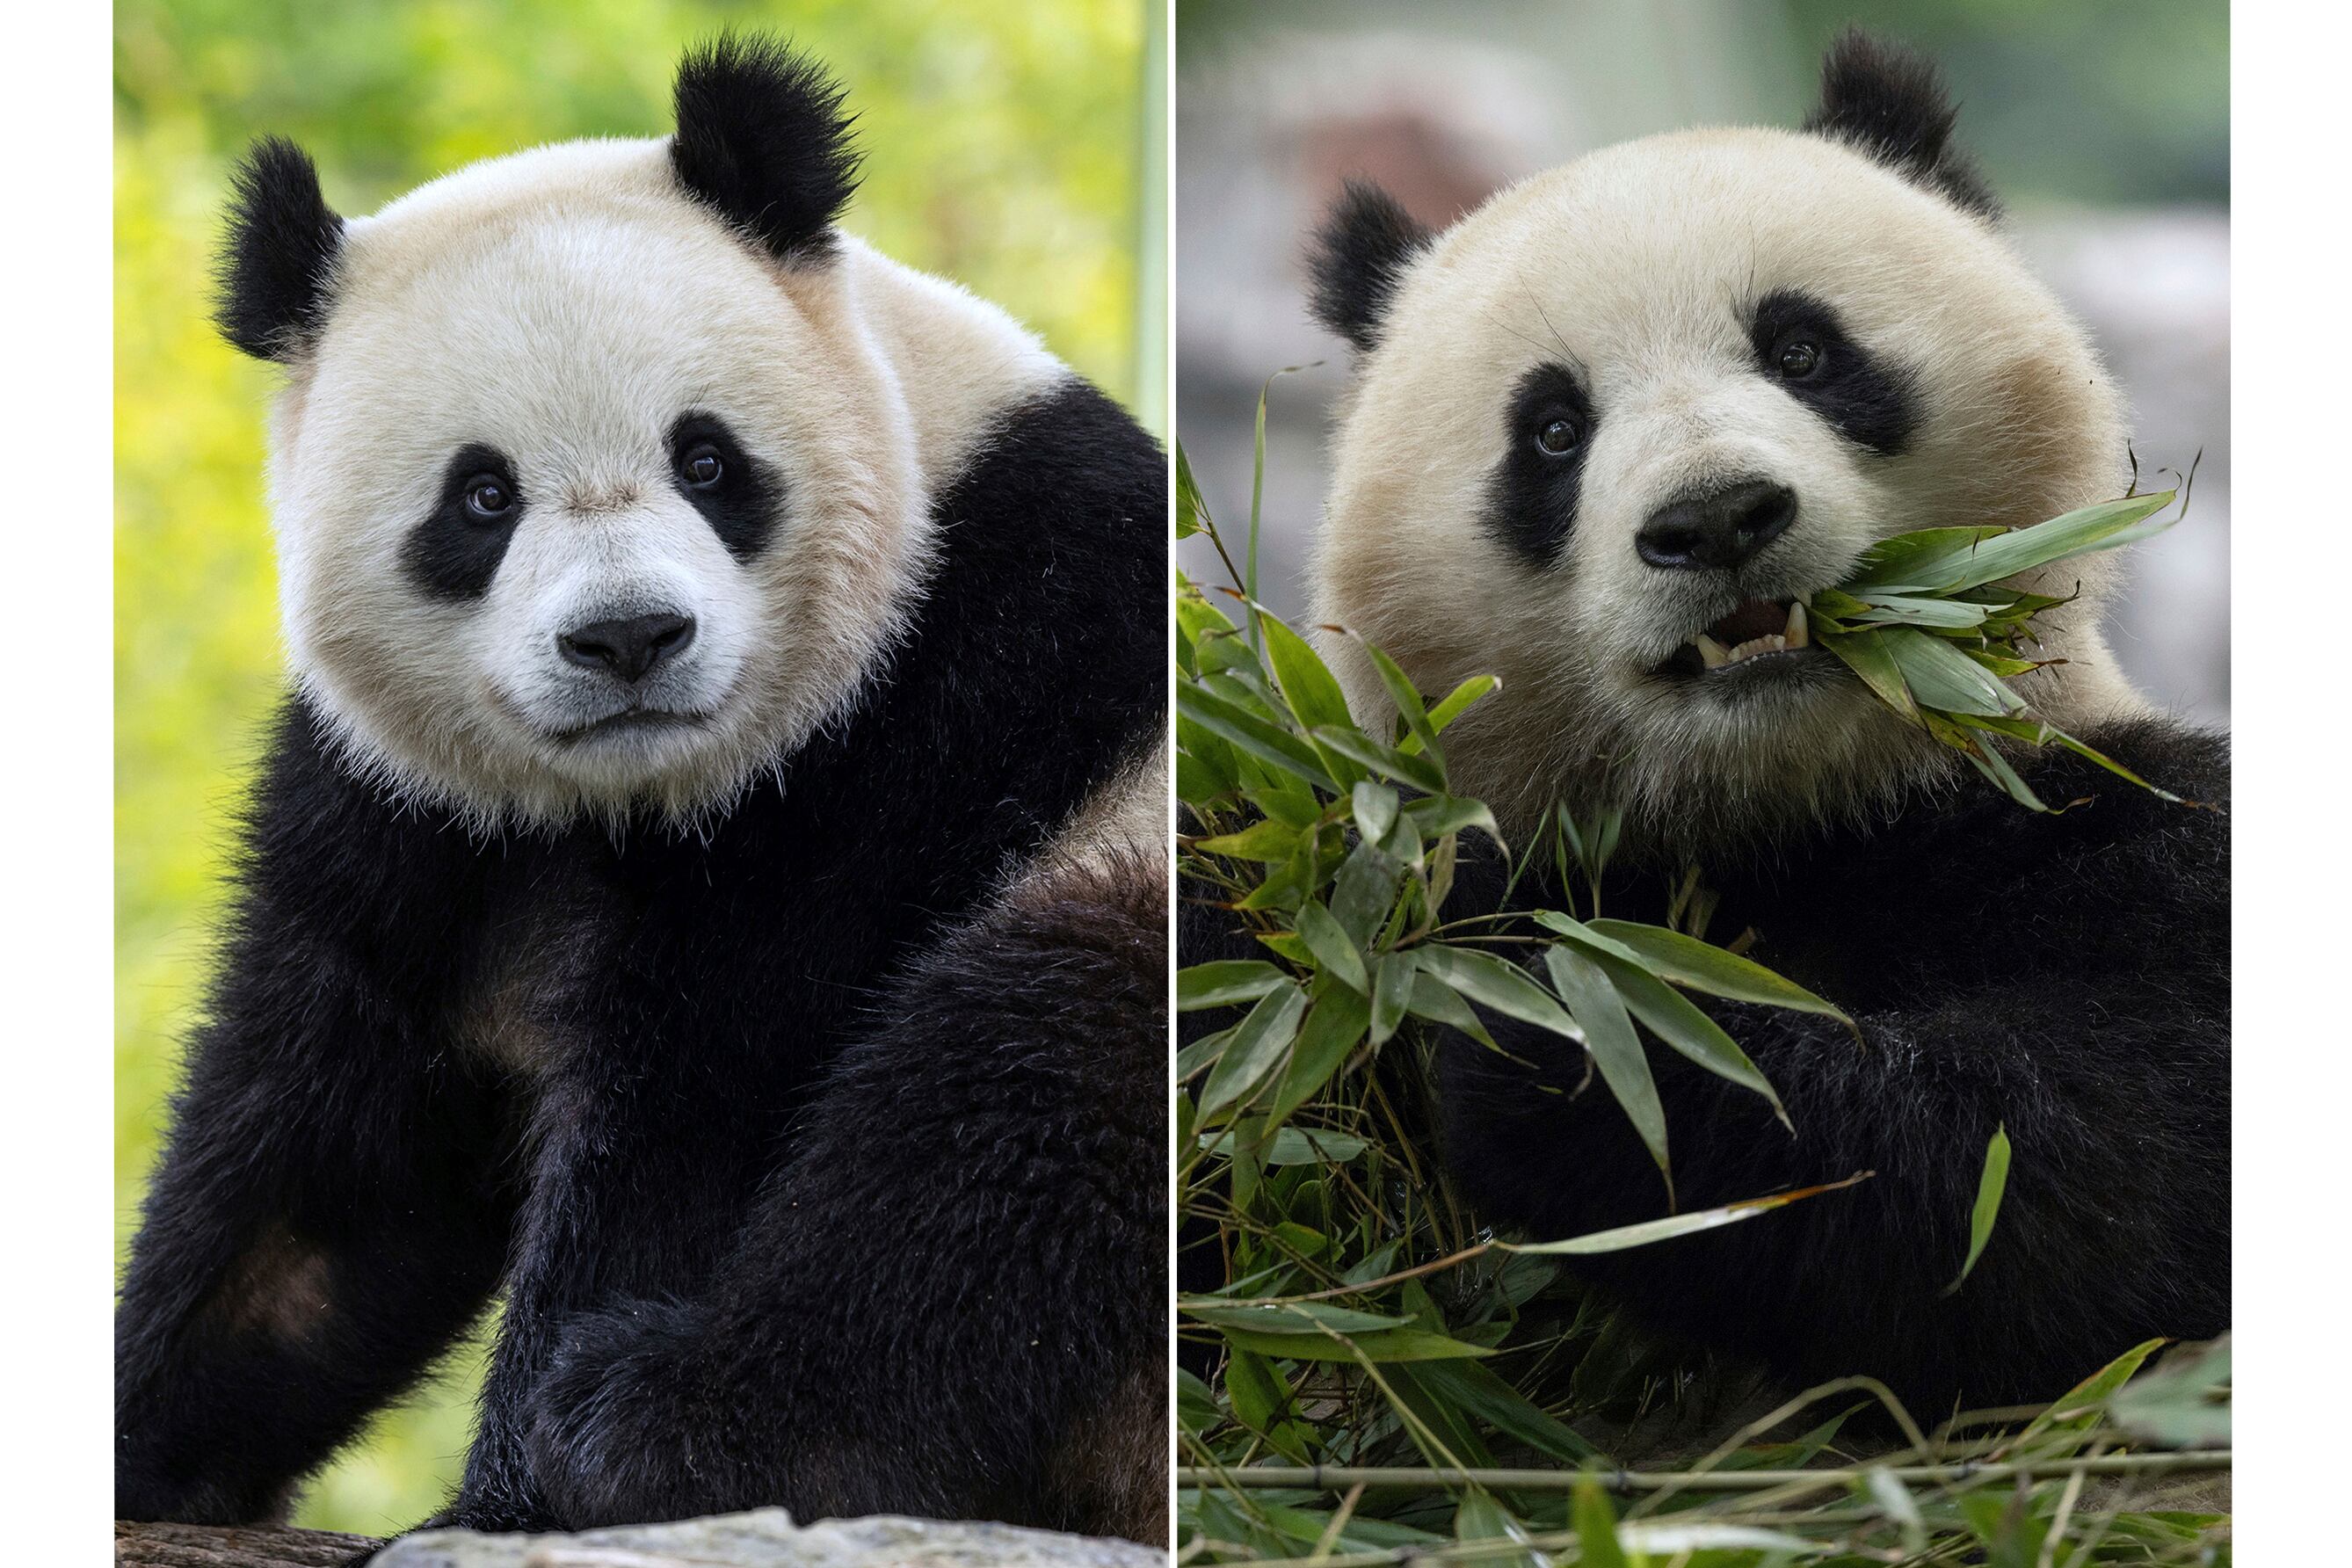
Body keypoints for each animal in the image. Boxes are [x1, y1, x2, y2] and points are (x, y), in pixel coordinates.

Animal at [114, 37, 1167, 1546]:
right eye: (481, 497)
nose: (628, 639)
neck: (628, 796)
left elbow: (697, 1109)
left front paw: (501, 1506)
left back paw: (664, 1421)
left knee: (1015, 1117)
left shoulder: (932, 712)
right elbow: (324, 1175)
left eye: (708, 459)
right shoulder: (415, 817)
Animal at [1291, 32, 2227, 1413]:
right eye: (1552, 430)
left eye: (1802, 351)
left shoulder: (2108, 823)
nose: (1718, 517)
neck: (1785, 804)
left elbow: (2079, 1166)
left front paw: (1572, 1032)